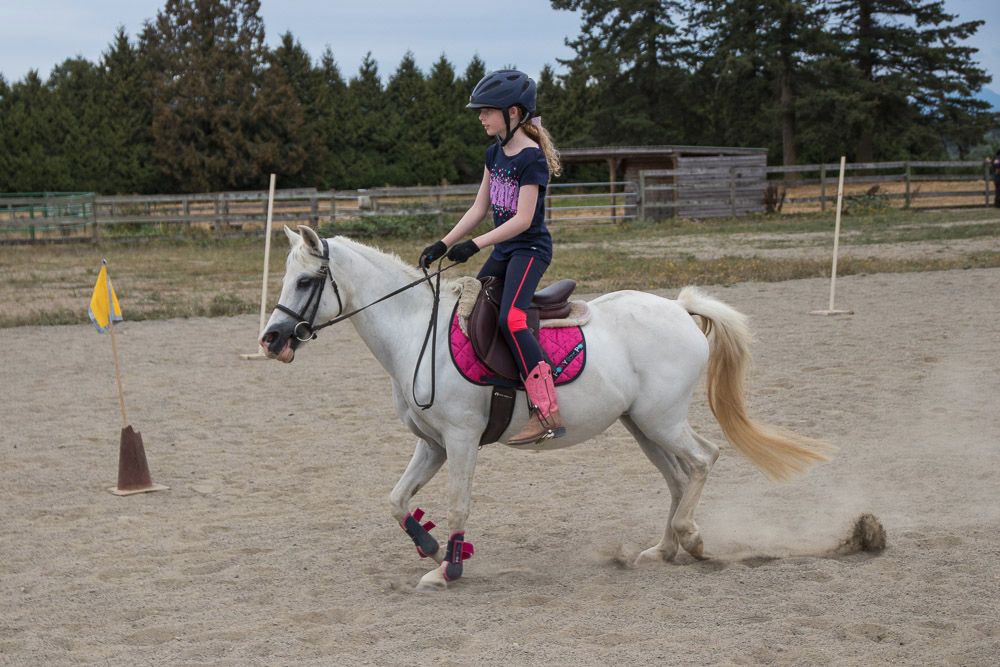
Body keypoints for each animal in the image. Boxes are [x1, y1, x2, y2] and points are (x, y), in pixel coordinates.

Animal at [260, 225, 830, 590]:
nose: (271, 340)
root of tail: (678, 307)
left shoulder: (462, 441)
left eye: (307, 281)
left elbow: (459, 503)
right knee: (677, 476)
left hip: (662, 419)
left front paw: (449, 570)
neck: (415, 332)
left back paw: (690, 538)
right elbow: (396, 500)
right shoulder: (434, 445)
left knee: (703, 460)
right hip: (641, 425)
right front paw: (432, 548)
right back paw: (664, 549)